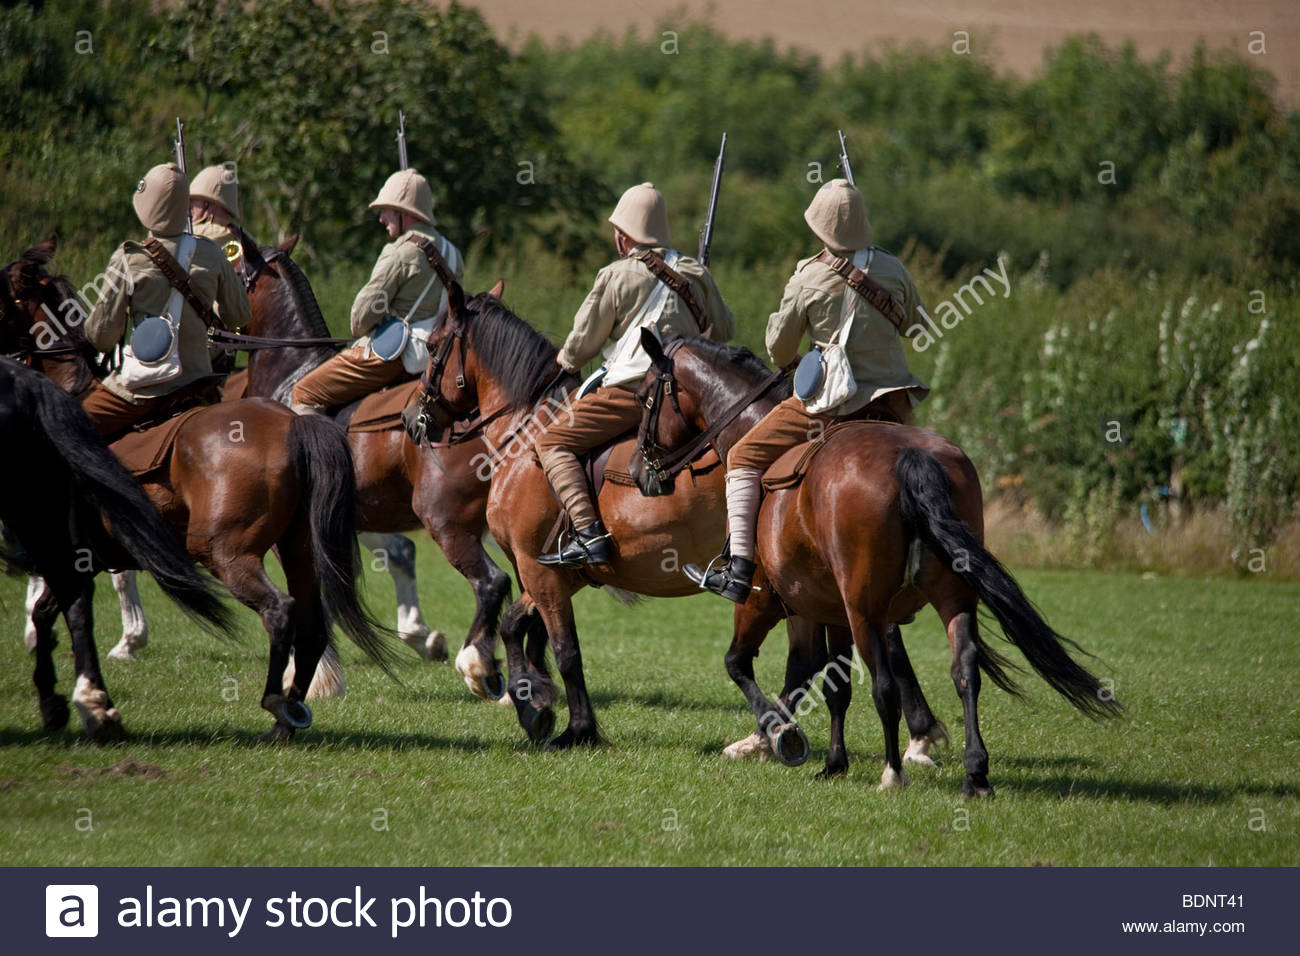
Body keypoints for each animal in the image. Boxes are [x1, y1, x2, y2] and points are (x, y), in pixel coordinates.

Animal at [400, 283, 951, 764]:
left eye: (433, 344)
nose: (410, 419)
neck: (529, 431)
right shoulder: (557, 572)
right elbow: (519, 625)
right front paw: (532, 703)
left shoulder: (543, 573)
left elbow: (564, 648)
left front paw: (569, 724)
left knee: (838, 649)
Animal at [634, 332, 1123, 796]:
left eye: (642, 396)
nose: (641, 473)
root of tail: (911, 456)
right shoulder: (827, 610)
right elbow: (832, 685)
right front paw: (829, 760)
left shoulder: (768, 603)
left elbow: (745, 664)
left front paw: (780, 737)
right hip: (949, 597)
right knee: (964, 670)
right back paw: (975, 775)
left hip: (863, 608)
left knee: (884, 683)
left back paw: (892, 773)